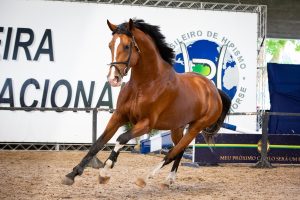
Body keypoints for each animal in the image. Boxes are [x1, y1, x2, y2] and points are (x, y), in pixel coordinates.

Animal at [62, 18, 231, 188]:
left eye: (127, 46)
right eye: (110, 45)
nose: (113, 79)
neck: (144, 84)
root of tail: (214, 90)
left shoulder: (146, 124)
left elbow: (121, 138)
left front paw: (104, 172)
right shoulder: (119, 116)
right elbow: (97, 144)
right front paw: (72, 174)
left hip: (196, 127)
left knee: (173, 152)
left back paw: (145, 177)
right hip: (177, 126)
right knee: (180, 149)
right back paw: (169, 180)